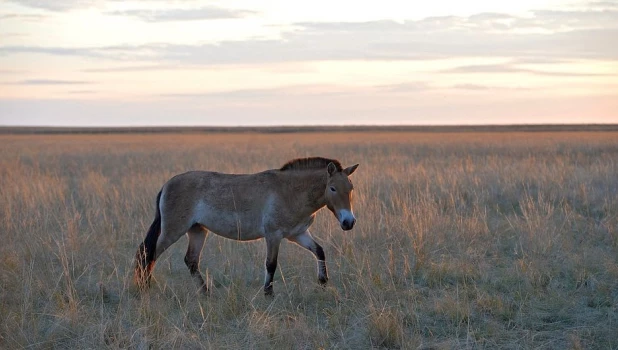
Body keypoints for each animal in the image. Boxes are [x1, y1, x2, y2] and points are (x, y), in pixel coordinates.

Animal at [134, 157, 356, 296]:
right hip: (172, 231)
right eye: (332, 188)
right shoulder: (273, 236)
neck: (290, 192)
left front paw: (323, 281)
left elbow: (319, 251)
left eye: (351, 188)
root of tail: (167, 185)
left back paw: (206, 292)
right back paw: (144, 287)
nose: (349, 222)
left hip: (197, 230)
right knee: (148, 254)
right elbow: (271, 264)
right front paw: (268, 293)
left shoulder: (298, 234)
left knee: (191, 261)